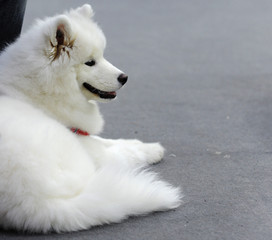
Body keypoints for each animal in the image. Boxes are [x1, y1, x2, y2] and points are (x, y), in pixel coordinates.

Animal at [0, 3, 183, 232]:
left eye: (102, 56)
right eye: (90, 62)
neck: (37, 94)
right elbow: (123, 152)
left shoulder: (86, 137)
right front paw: (152, 151)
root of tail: (39, 201)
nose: (124, 77)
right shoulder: (90, 148)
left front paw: (148, 146)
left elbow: (116, 141)